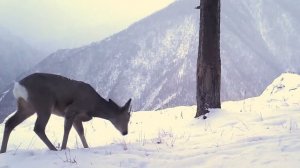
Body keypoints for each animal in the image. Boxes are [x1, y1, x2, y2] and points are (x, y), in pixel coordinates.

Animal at [0, 73, 131, 153]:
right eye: (126, 117)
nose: (125, 132)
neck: (93, 106)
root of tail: (18, 87)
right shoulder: (71, 109)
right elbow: (67, 129)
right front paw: (63, 148)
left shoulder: (78, 118)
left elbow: (81, 132)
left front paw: (86, 147)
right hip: (44, 105)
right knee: (38, 128)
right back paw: (54, 149)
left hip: (26, 108)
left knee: (9, 123)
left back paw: (3, 151)